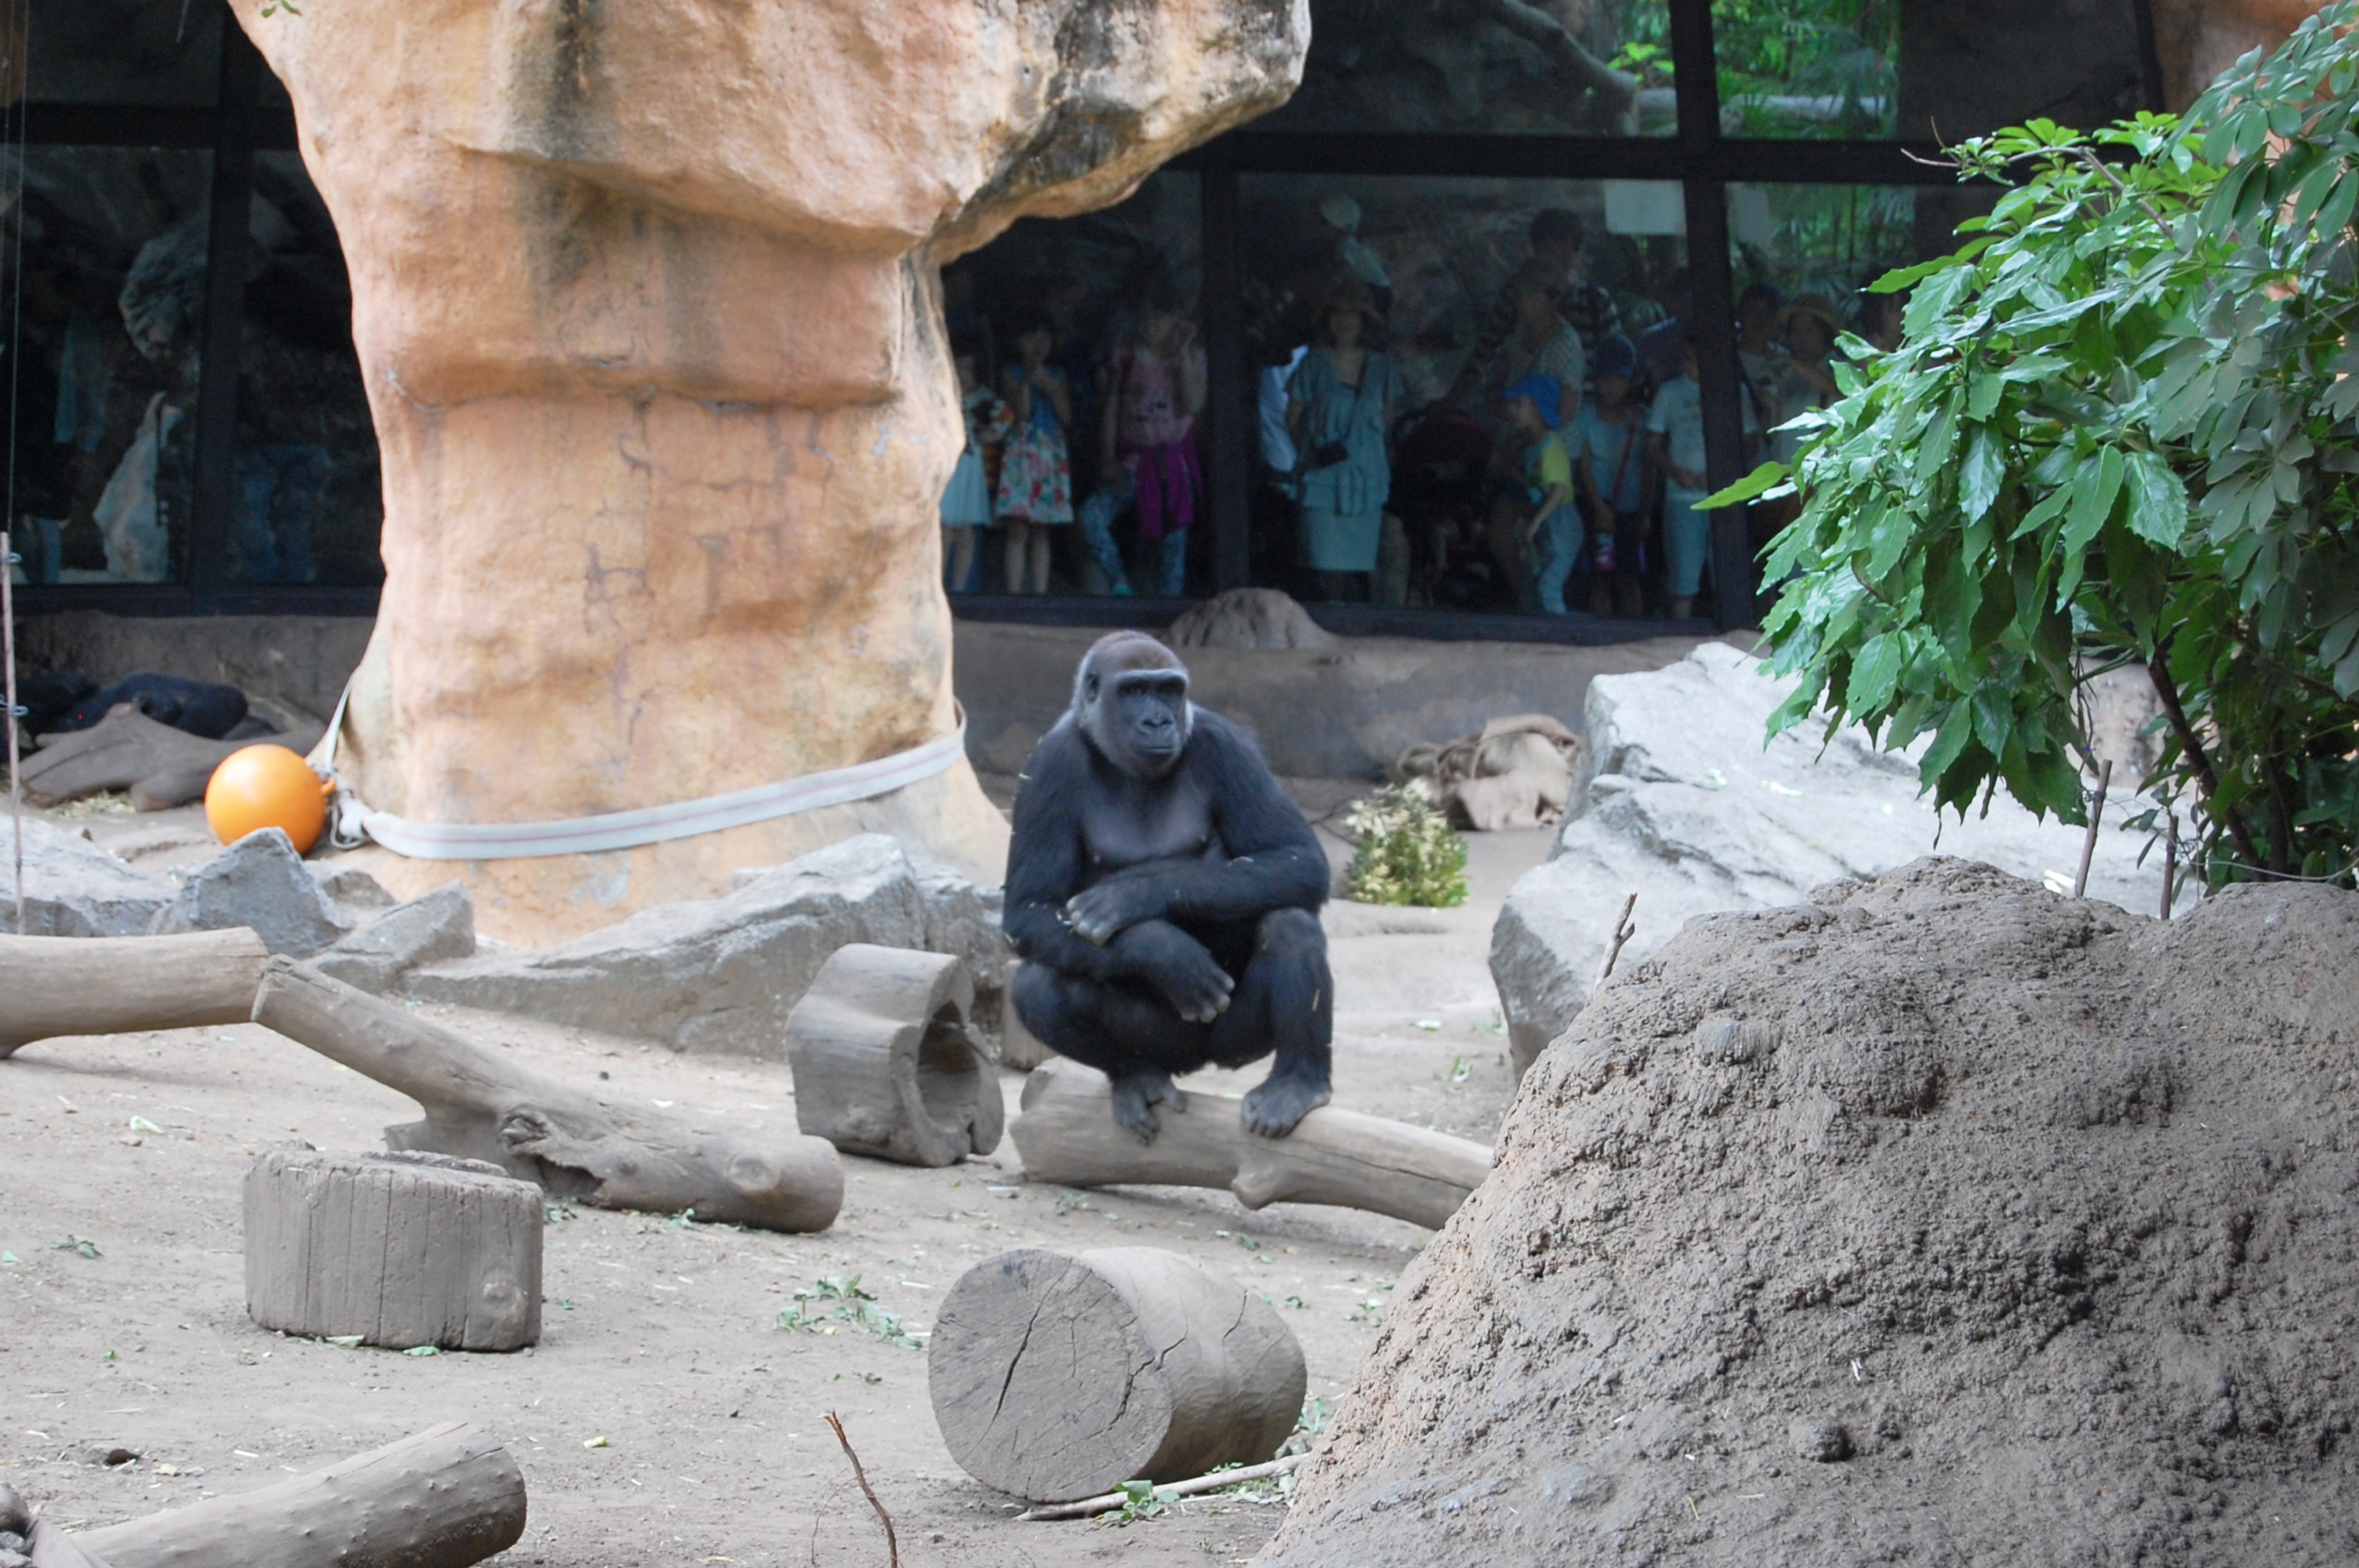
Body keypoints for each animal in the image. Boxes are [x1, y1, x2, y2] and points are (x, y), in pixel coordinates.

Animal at [1003, 631, 1335, 1144]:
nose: (1158, 721)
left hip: (1234, 1042)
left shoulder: (1224, 743)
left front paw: (1132, 898)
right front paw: (1162, 950)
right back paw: (1134, 1075)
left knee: (1291, 923)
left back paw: (1298, 1082)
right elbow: (1030, 909)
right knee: (1034, 984)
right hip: (1164, 1047)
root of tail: (1196, 1062)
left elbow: (1297, 858)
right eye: (1136, 690)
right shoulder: (1047, 764)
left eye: (1169, 690)